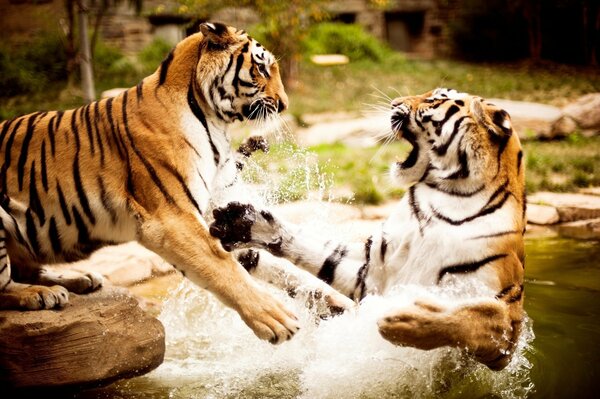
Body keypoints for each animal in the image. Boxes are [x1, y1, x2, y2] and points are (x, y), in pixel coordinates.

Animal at [0, 22, 300, 344]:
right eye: (261, 68)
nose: (284, 105)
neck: (213, 119)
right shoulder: (172, 217)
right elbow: (222, 266)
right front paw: (276, 319)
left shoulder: (212, 212)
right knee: (5, 284)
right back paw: (41, 294)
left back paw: (80, 279)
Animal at [210, 88, 524, 372]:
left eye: (435, 100)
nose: (395, 103)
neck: (444, 198)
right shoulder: (371, 270)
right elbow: (317, 251)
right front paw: (243, 223)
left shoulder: (507, 325)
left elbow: (470, 317)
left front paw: (401, 320)